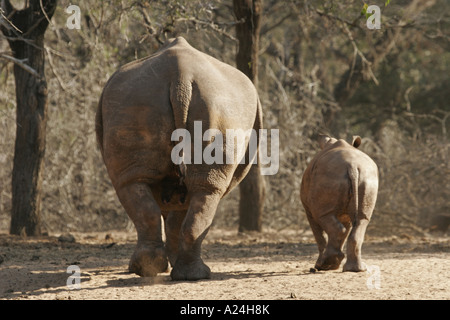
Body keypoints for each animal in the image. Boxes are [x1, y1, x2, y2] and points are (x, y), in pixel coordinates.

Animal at [96, 37, 262, 280]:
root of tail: (181, 77)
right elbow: (176, 215)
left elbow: (174, 216)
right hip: (205, 104)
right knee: (202, 190)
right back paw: (185, 274)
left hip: (139, 99)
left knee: (136, 185)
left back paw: (150, 270)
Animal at [300, 134, 378, 272]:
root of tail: (352, 166)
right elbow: (346, 229)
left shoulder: (308, 209)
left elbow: (319, 233)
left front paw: (323, 265)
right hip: (367, 178)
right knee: (362, 219)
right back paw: (355, 269)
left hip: (329, 176)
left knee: (323, 217)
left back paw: (325, 265)